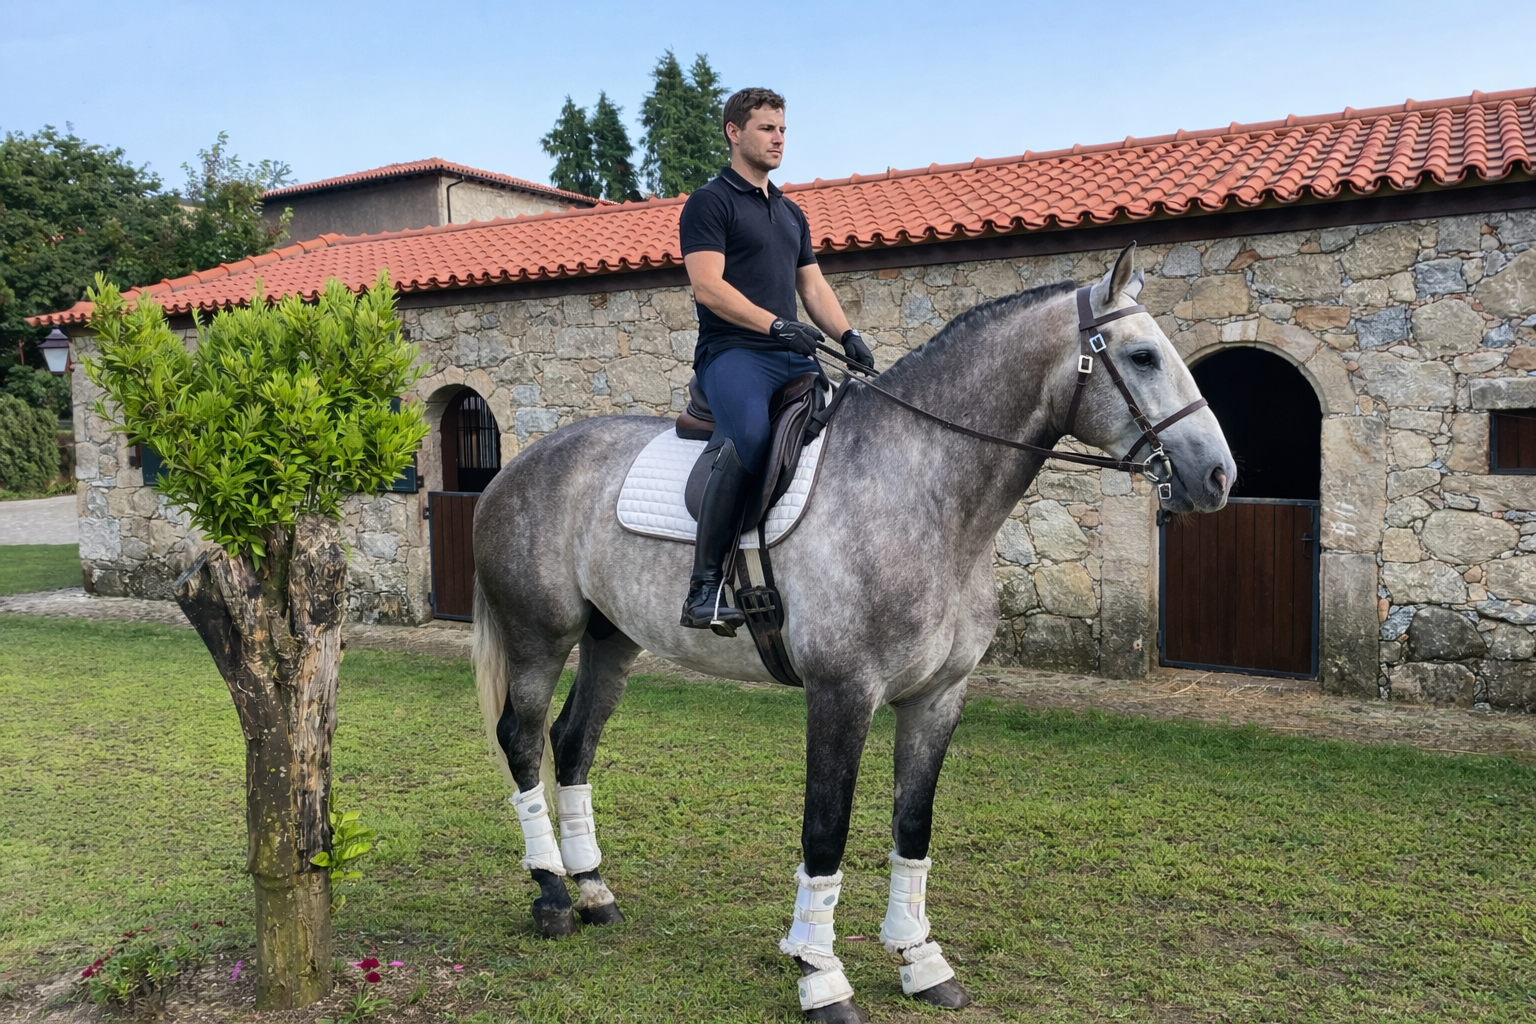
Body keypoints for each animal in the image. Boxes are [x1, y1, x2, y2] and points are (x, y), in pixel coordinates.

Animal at [471, 244, 1235, 1022]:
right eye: (1143, 356)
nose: (1218, 475)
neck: (922, 490)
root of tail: (520, 463)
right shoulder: (841, 693)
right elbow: (825, 831)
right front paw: (820, 975)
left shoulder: (938, 697)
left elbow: (912, 826)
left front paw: (920, 960)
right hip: (538, 638)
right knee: (523, 741)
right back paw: (553, 897)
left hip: (610, 640)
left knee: (573, 743)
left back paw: (594, 892)